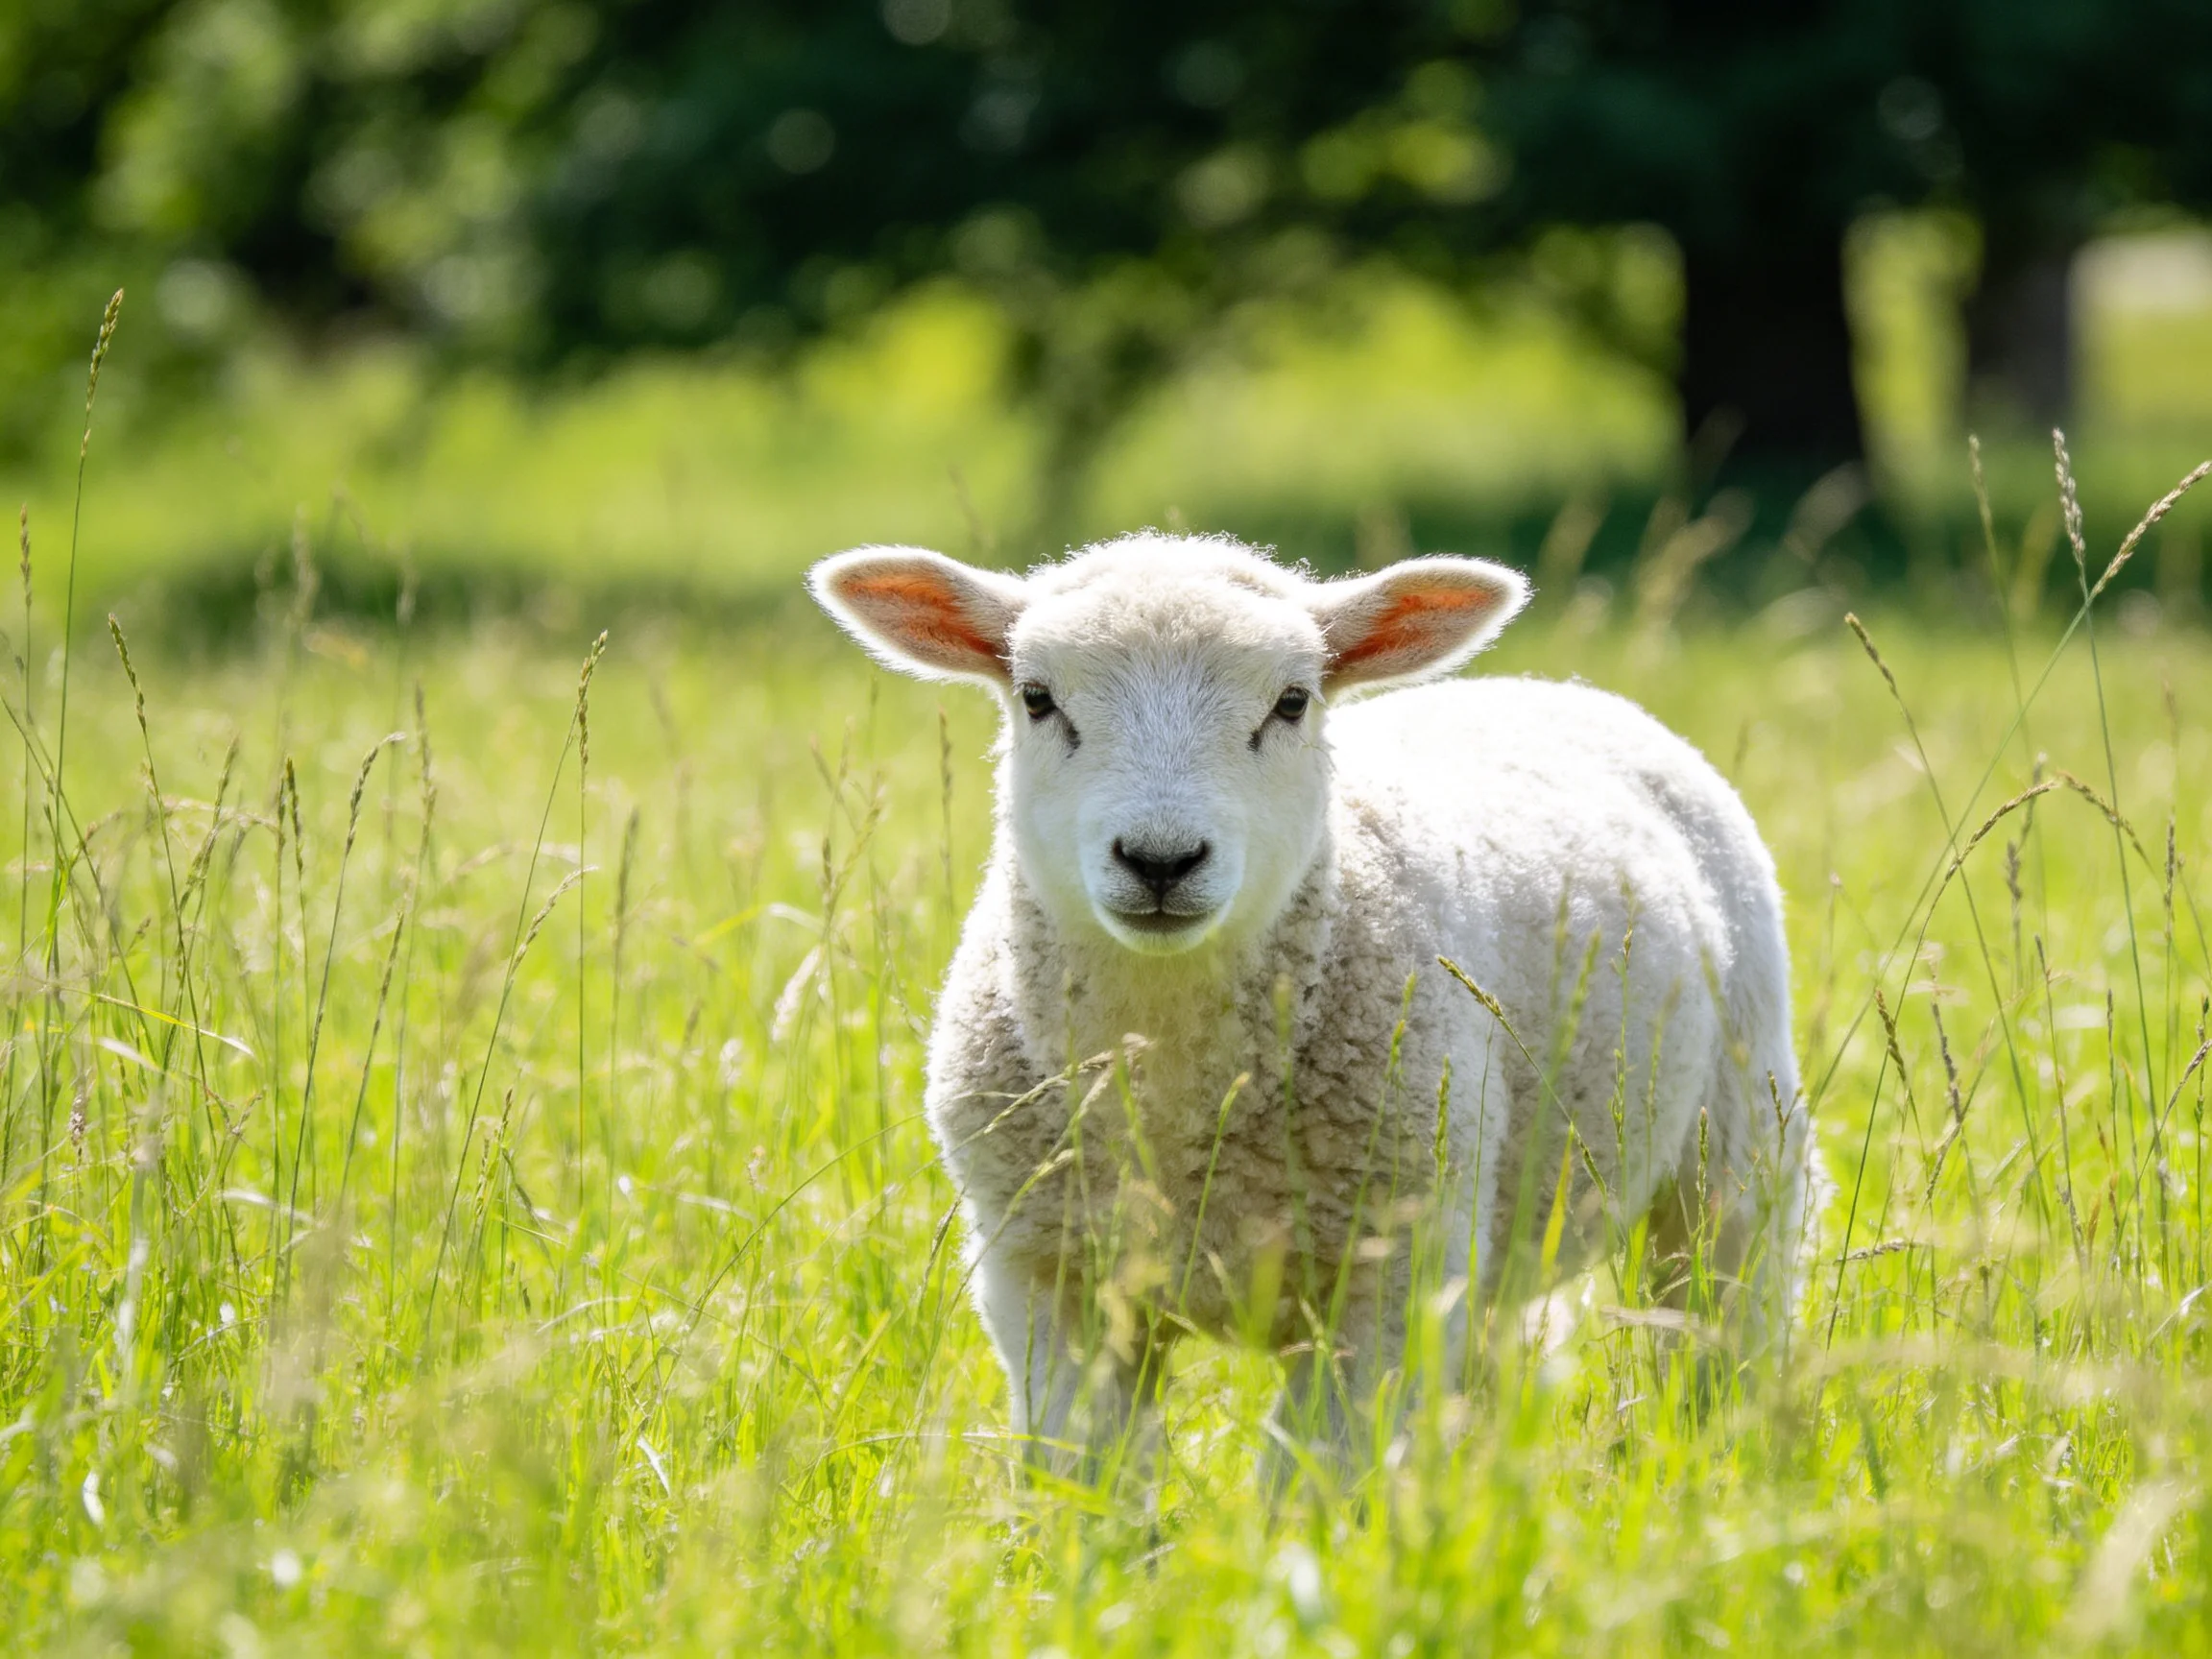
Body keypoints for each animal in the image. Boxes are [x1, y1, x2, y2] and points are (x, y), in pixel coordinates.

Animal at [809, 531, 1819, 1483]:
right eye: (1036, 698)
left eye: (1292, 702)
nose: (1161, 860)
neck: (1179, 1093)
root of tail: (1551, 688)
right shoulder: (1048, 1276)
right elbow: (1093, 1478)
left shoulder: (1392, 1272)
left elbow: (1313, 1480)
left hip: (1736, 1135)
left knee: (1724, 1317)